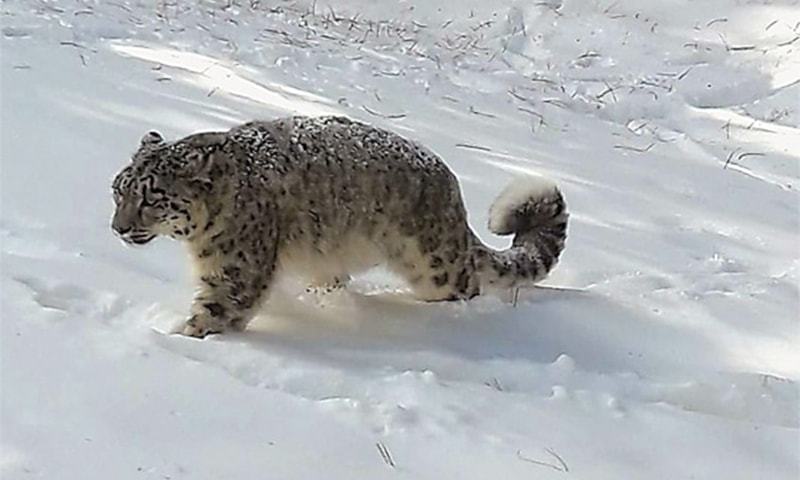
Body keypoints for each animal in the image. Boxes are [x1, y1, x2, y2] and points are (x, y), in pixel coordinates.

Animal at [111, 116, 568, 338]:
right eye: (119, 190)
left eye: (151, 198)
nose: (117, 228)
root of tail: (452, 188)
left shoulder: (233, 274)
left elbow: (212, 315)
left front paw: (173, 339)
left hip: (439, 268)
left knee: (466, 286)